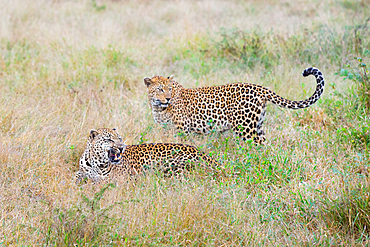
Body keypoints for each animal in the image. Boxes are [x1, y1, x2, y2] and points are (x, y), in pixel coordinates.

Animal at [74, 128, 221, 182]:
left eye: (119, 138)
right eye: (109, 139)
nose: (121, 147)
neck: (96, 162)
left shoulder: (117, 179)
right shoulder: (82, 171)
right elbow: (75, 176)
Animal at [145, 67, 324, 145]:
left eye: (169, 89)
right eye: (160, 89)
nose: (167, 98)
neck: (158, 107)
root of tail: (259, 87)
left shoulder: (182, 129)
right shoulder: (165, 129)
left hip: (245, 128)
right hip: (257, 125)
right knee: (265, 143)